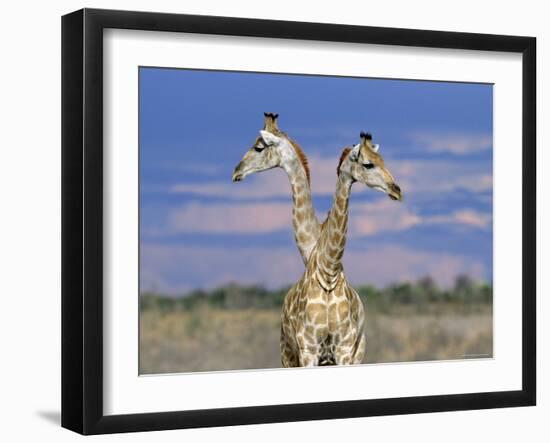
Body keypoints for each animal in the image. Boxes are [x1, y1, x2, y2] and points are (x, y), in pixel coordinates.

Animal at [282, 132, 404, 368]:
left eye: (383, 160)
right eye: (368, 164)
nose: (397, 190)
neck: (329, 276)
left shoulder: (344, 349)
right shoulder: (309, 349)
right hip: (288, 354)